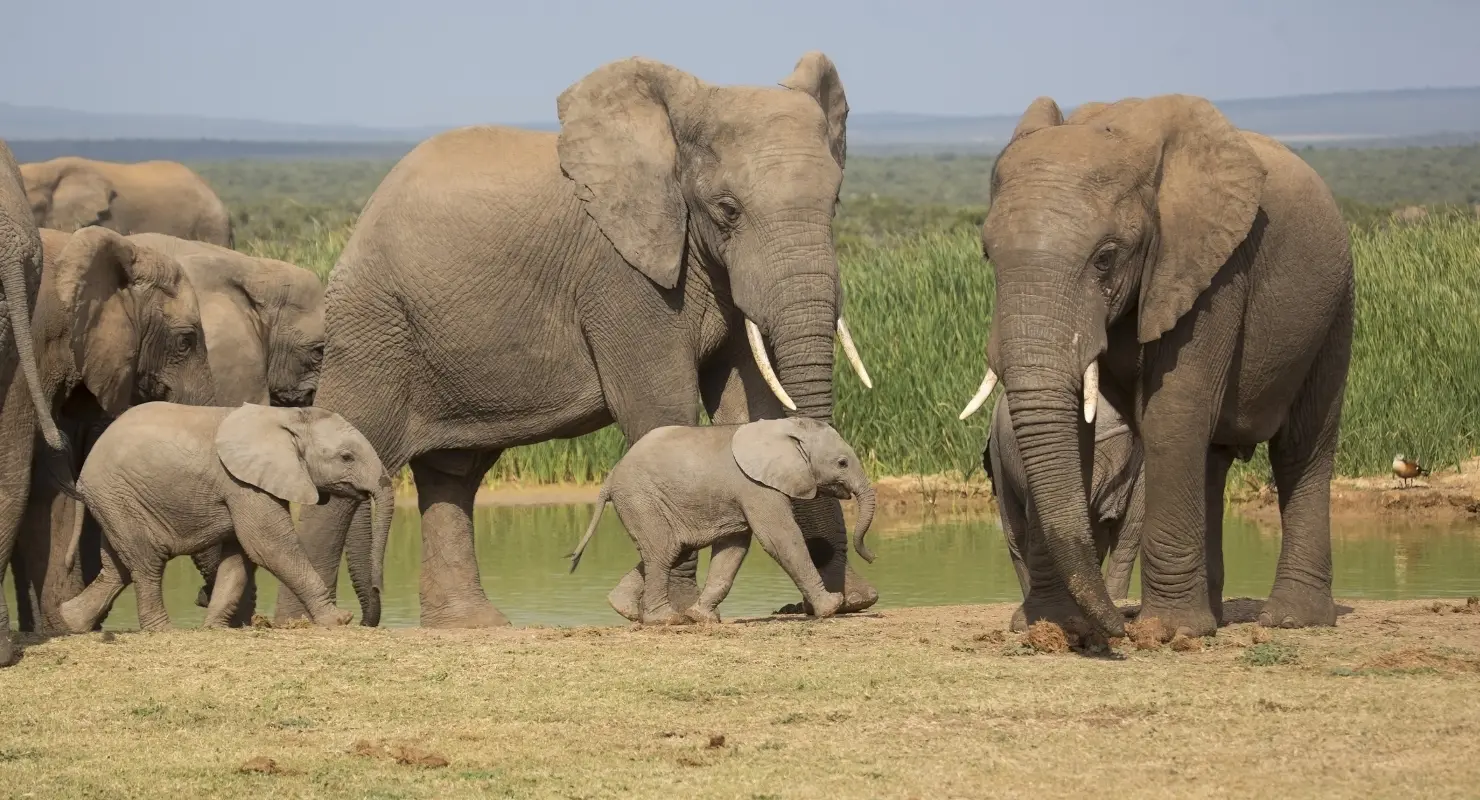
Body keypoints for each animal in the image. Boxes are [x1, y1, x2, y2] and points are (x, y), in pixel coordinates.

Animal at [57, 402, 389, 632]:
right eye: (346, 457)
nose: (378, 589)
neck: (286, 416)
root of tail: (82, 475)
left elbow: (240, 557)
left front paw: (214, 629)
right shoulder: (243, 484)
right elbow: (268, 546)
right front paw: (339, 620)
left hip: (114, 503)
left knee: (118, 569)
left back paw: (71, 622)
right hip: (119, 495)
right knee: (147, 563)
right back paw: (163, 631)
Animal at [568, 417, 875, 624]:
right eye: (842, 463)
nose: (872, 556)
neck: (788, 428)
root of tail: (611, 476)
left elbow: (733, 549)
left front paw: (702, 617)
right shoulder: (755, 486)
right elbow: (780, 538)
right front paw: (831, 606)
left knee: (671, 550)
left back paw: (626, 609)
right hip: (640, 497)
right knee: (663, 551)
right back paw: (666, 619)